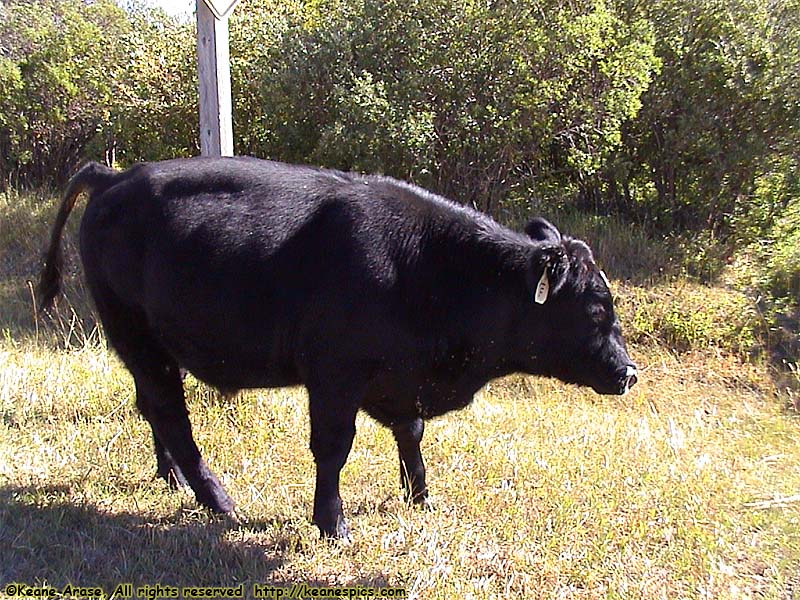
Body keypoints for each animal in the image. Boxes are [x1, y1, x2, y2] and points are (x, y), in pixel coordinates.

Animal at [37, 157, 640, 540]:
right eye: (596, 310)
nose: (629, 372)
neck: (424, 268)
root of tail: (115, 177)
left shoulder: (396, 382)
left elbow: (410, 435)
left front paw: (422, 497)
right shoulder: (335, 378)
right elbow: (333, 448)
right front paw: (332, 523)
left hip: (152, 347)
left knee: (152, 407)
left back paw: (172, 478)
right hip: (136, 335)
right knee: (169, 412)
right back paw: (220, 501)